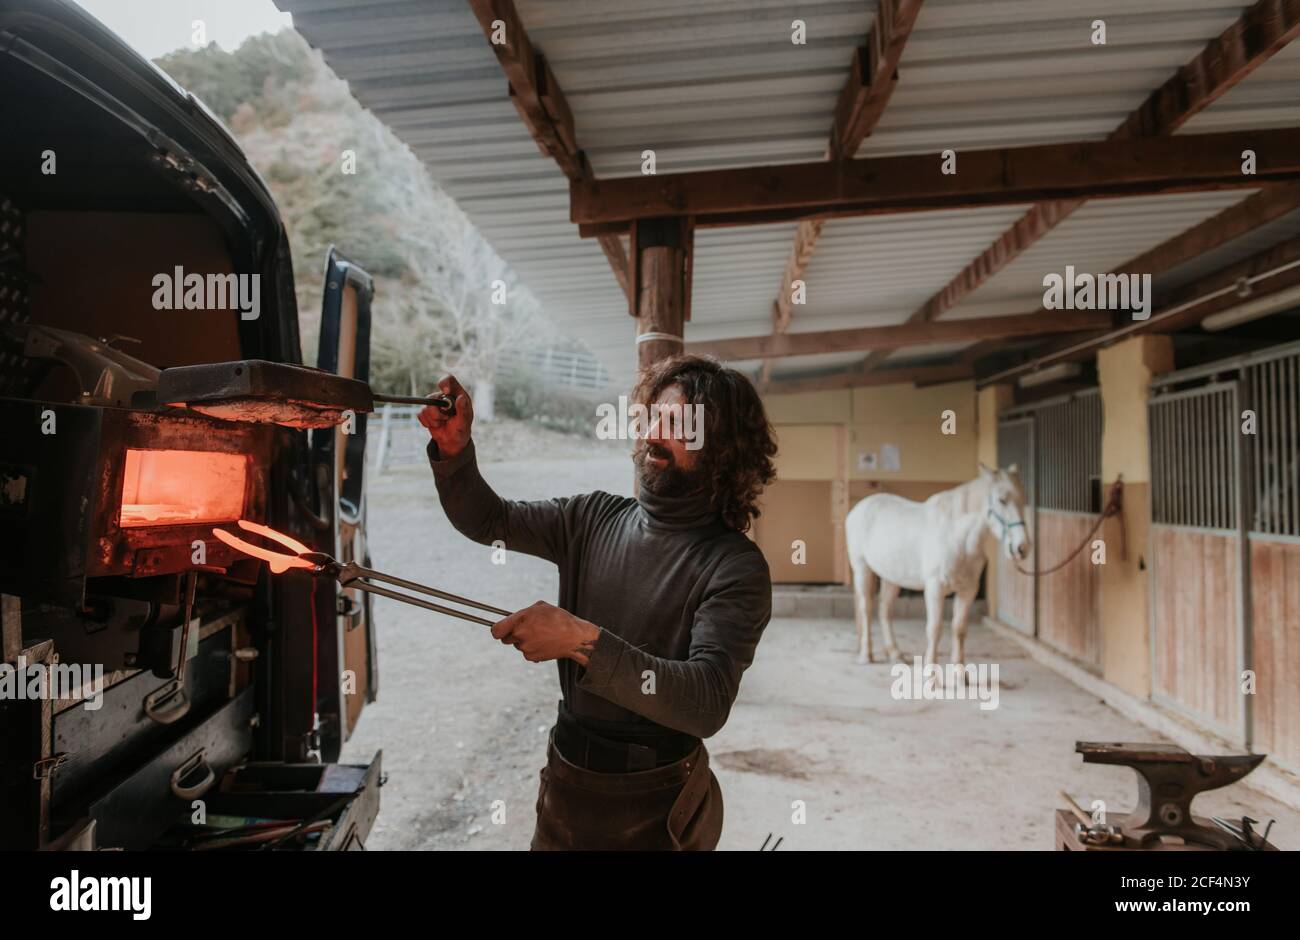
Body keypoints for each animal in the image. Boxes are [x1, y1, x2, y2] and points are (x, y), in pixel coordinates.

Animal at [847, 462, 1029, 670]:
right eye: (1002, 500)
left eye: (1023, 499)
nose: (1022, 547)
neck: (957, 538)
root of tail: (858, 508)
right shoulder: (935, 588)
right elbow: (934, 629)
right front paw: (932, 674)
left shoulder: (968, 590)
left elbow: (959, 628)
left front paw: (960, 674)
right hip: (862, 569)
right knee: (866, 609)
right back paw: (865, 655)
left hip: (890, 577)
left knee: (884, 610)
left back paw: (895, 653)